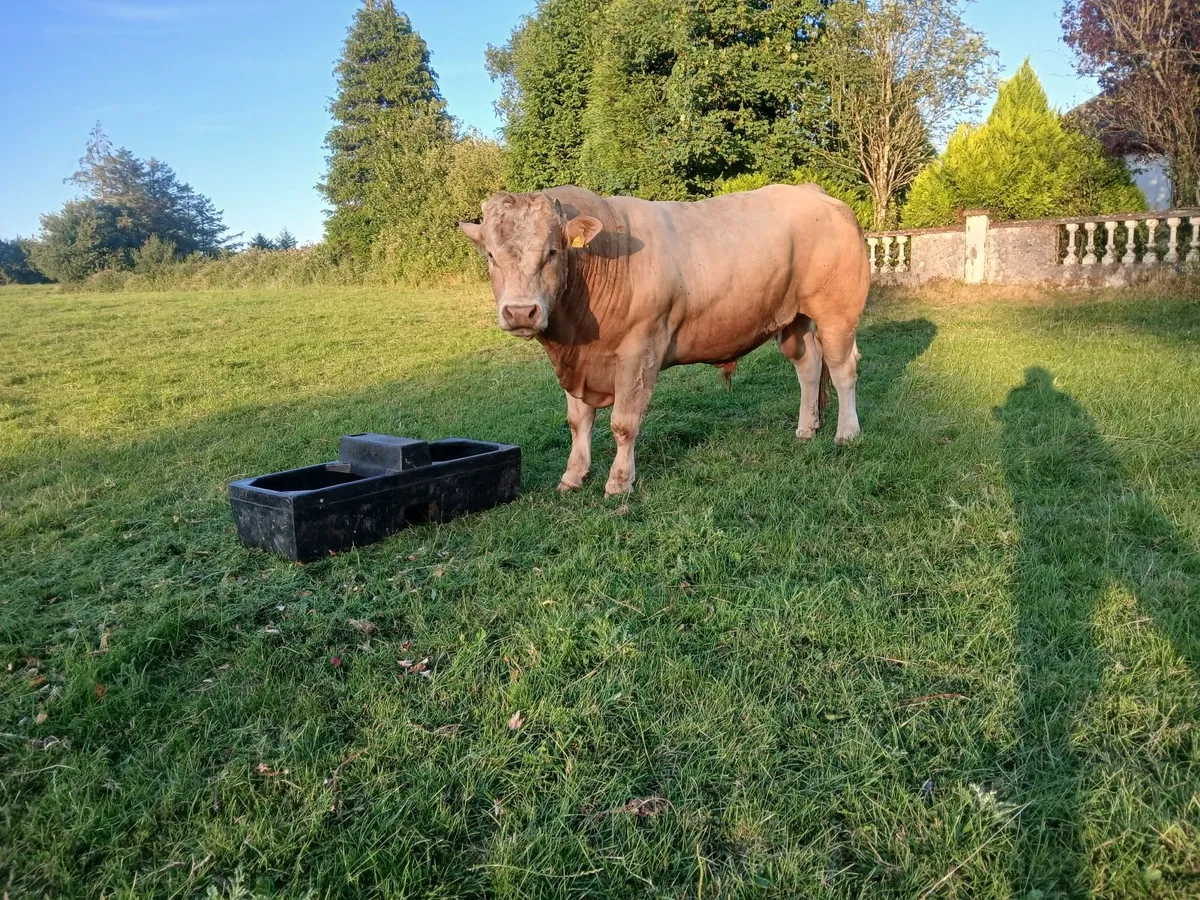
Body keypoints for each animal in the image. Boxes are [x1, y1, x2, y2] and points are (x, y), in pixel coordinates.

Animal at [458, 184, 869, 496]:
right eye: (491, 255)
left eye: (552, 252)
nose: (521, 312)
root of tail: (816, 193)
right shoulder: (577, 362)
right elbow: (578, 421)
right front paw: (573, 475)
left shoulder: (639, 350)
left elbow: (624, 422)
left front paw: (619, 482)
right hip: (793, 318)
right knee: (809, 364)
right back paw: (806, 428)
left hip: (837, 311)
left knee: (842, 368)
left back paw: (847, 434)